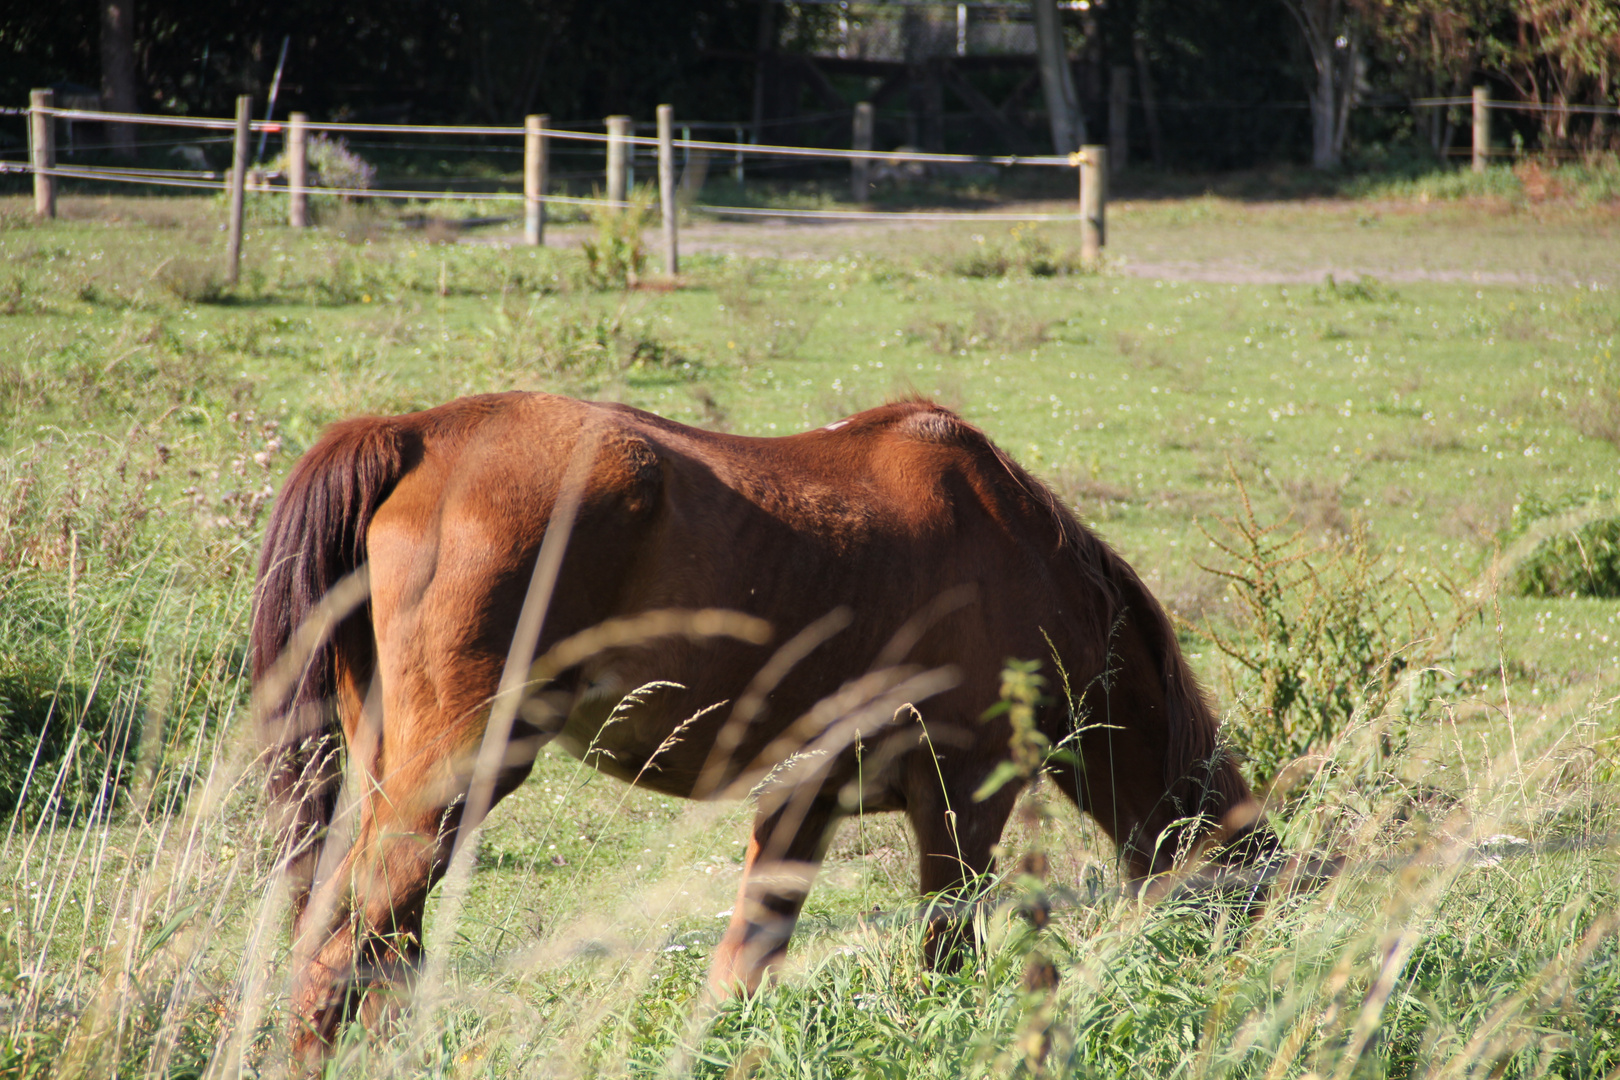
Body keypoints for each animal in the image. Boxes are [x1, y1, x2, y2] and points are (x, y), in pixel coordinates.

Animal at [249, 393, 1263, 1062]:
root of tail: (418, 434)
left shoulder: (801, 803)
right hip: (455, 782)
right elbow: (942, 960)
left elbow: (741, 972)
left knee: (371, 960)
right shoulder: (961, 804)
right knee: (336, 966)